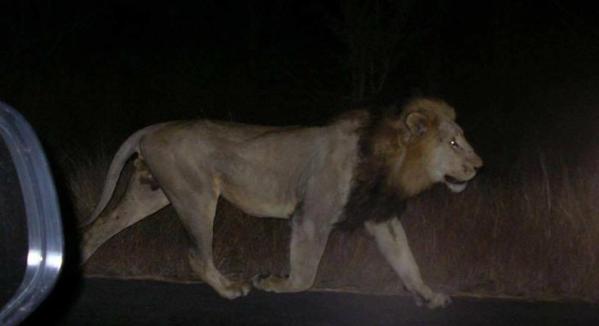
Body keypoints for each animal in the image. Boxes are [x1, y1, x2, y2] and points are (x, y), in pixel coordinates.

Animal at [81, 96, 482, 308]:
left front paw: (429, 295)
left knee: (98, 228)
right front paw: (271, 282)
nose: (479, 165)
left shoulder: (380, 218)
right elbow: (305, 275)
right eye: (452, 143)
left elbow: (407, 261)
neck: (392, 164)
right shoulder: (312, 216)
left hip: (151, 193)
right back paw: (230, 289)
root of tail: (154, 127)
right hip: (196, 196)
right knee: (196, 255)